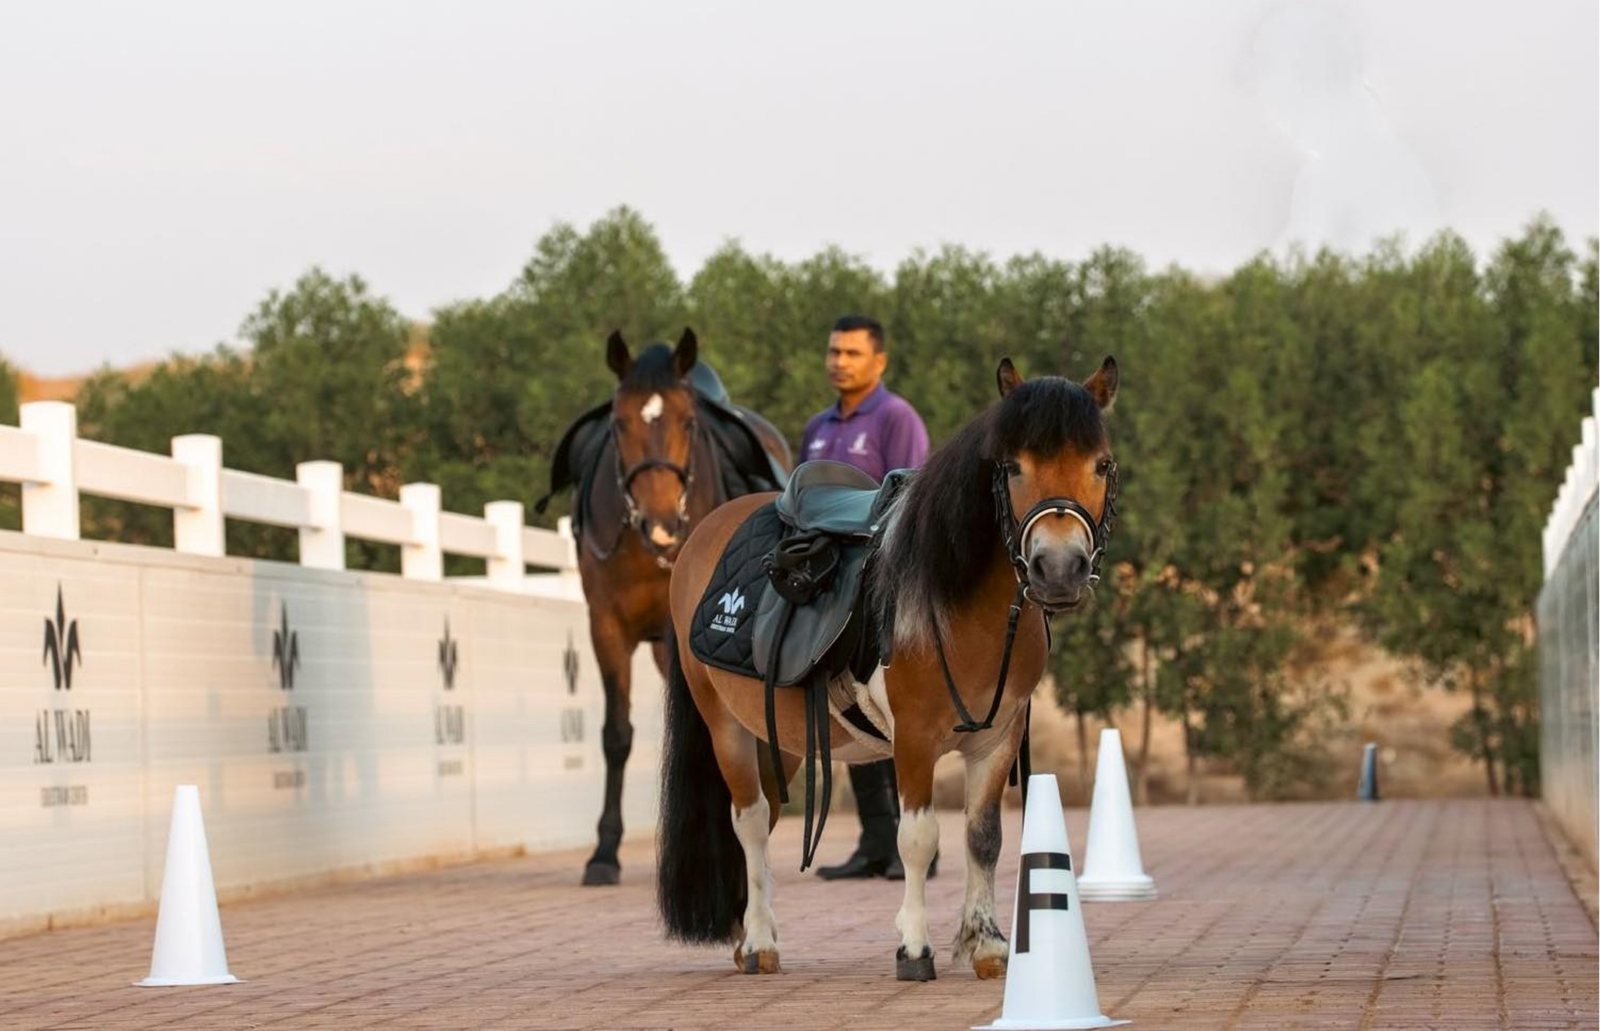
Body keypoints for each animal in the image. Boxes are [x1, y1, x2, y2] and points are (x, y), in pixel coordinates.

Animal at [541, 328, 792, 886]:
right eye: (618, 423)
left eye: (689, 422)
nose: (661, 524)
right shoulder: (606, 627)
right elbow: (616, 736)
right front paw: (604, 852)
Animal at [657, 355, 1120, 980]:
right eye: (1013, 466)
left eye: (1101, 464)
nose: (1060, 568)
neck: (953, 597)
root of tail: (702, 534)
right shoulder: (915, 739)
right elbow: (918, 838)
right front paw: (915, 949)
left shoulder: (997, 739)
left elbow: (985, 837)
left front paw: (988, 944)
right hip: (724, 725)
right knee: (750, 821)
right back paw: (756, 944)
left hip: (779, 738)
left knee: (767, 815)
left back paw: (751, 933)